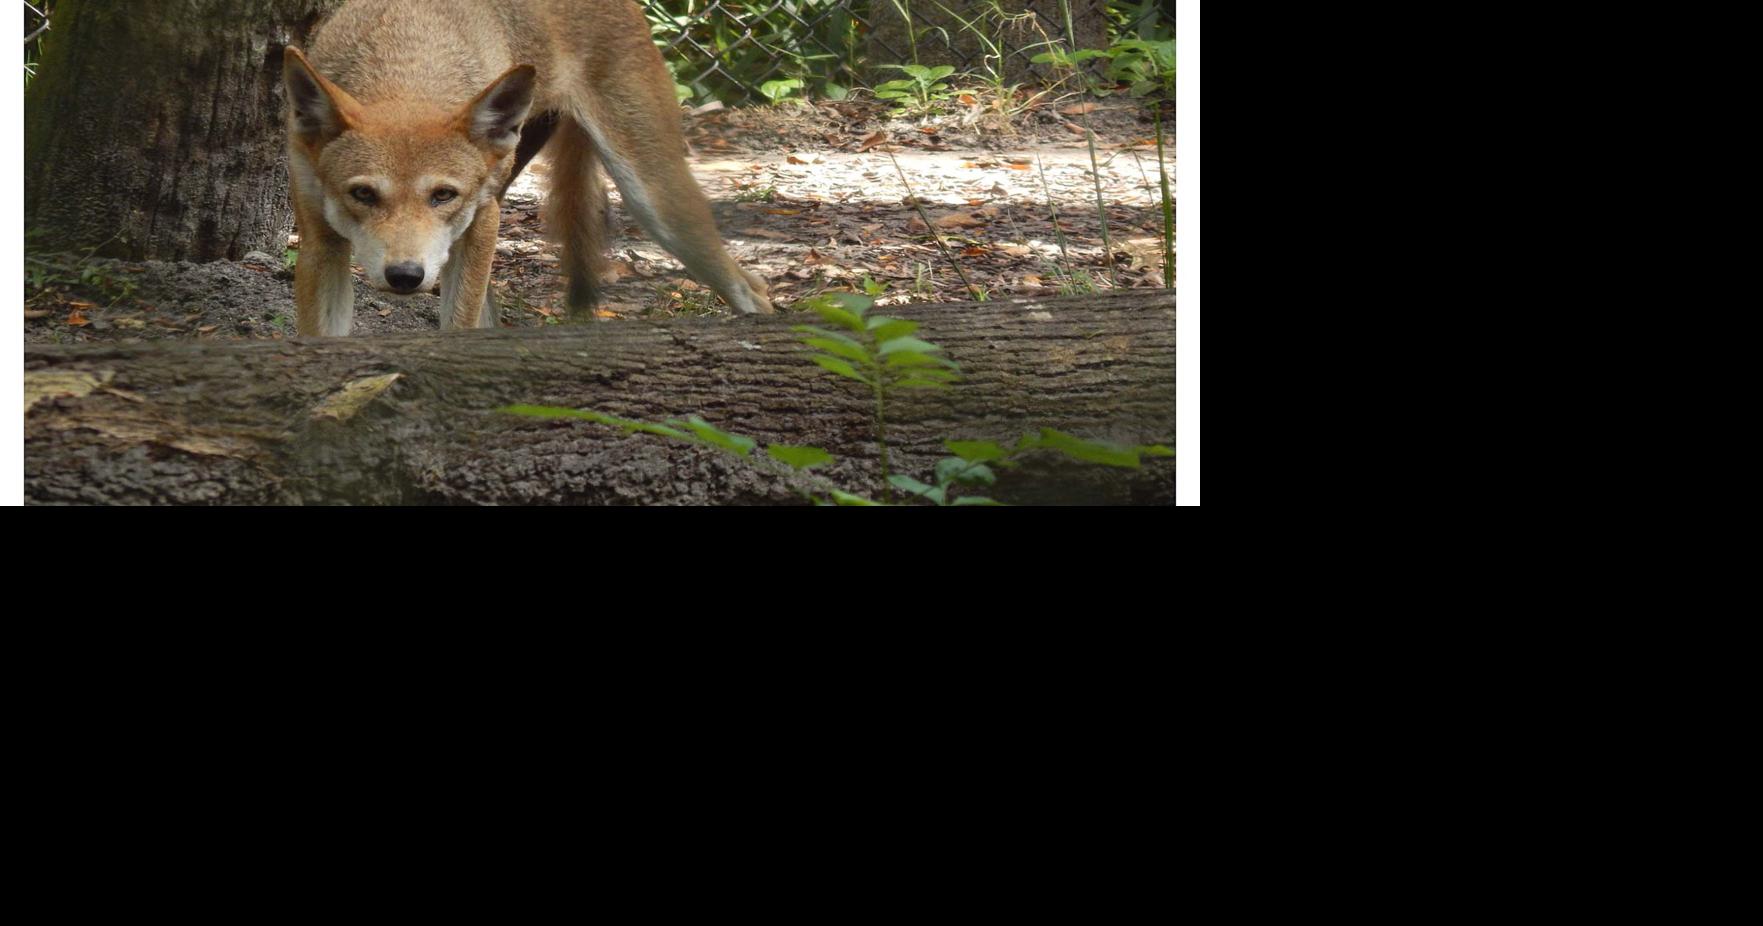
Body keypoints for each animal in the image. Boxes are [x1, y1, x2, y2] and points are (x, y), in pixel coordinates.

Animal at [283, 0, 774, 336]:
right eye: (363, 194)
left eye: (443, 195)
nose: (405, 276)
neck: (407, 57)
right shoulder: (320, 244)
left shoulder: (481, 220)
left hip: (656, 206)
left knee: (752, 289)